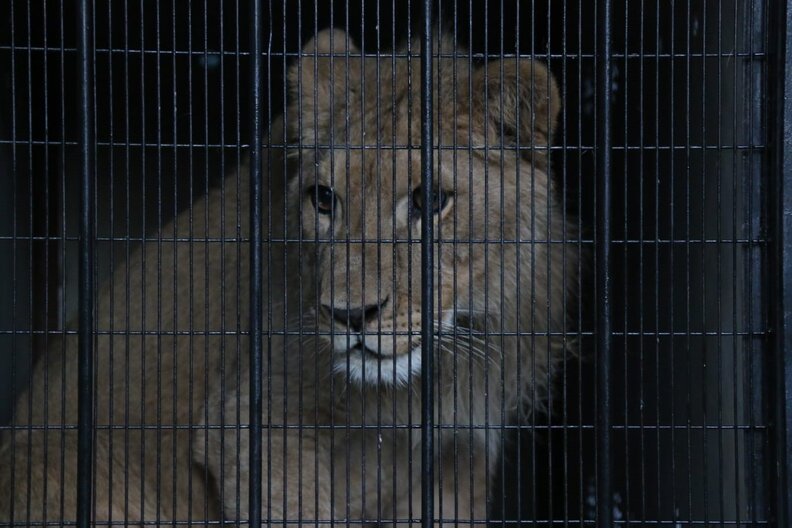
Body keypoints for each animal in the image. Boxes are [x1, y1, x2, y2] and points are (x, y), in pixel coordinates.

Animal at [0, 28, 575, 527]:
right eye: (324, 199)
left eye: (430, 201)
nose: (349, 316)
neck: (430, 376)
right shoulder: (256, 420)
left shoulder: (461, 456)